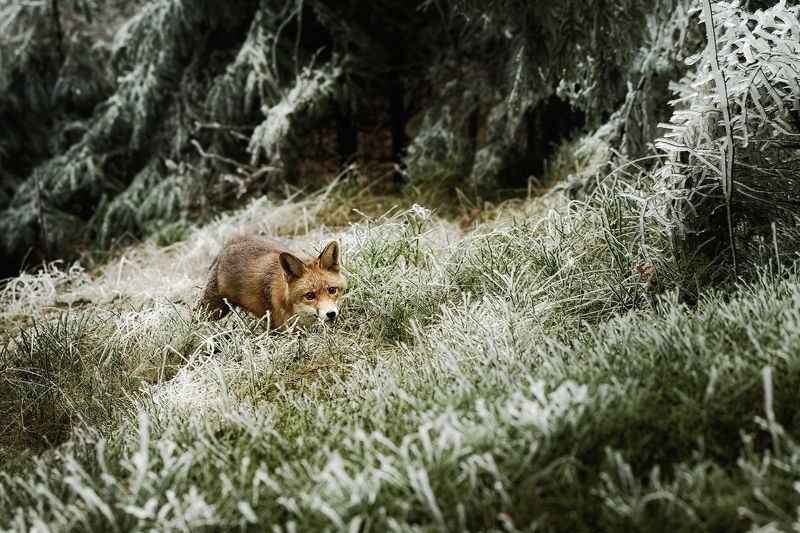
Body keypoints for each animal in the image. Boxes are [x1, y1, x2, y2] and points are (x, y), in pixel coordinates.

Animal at [195, 236, 346, 330]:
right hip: (213, 310)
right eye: (310, 296)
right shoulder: (279, 329)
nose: (331, 314)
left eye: (332, 290)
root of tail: (229, 242)